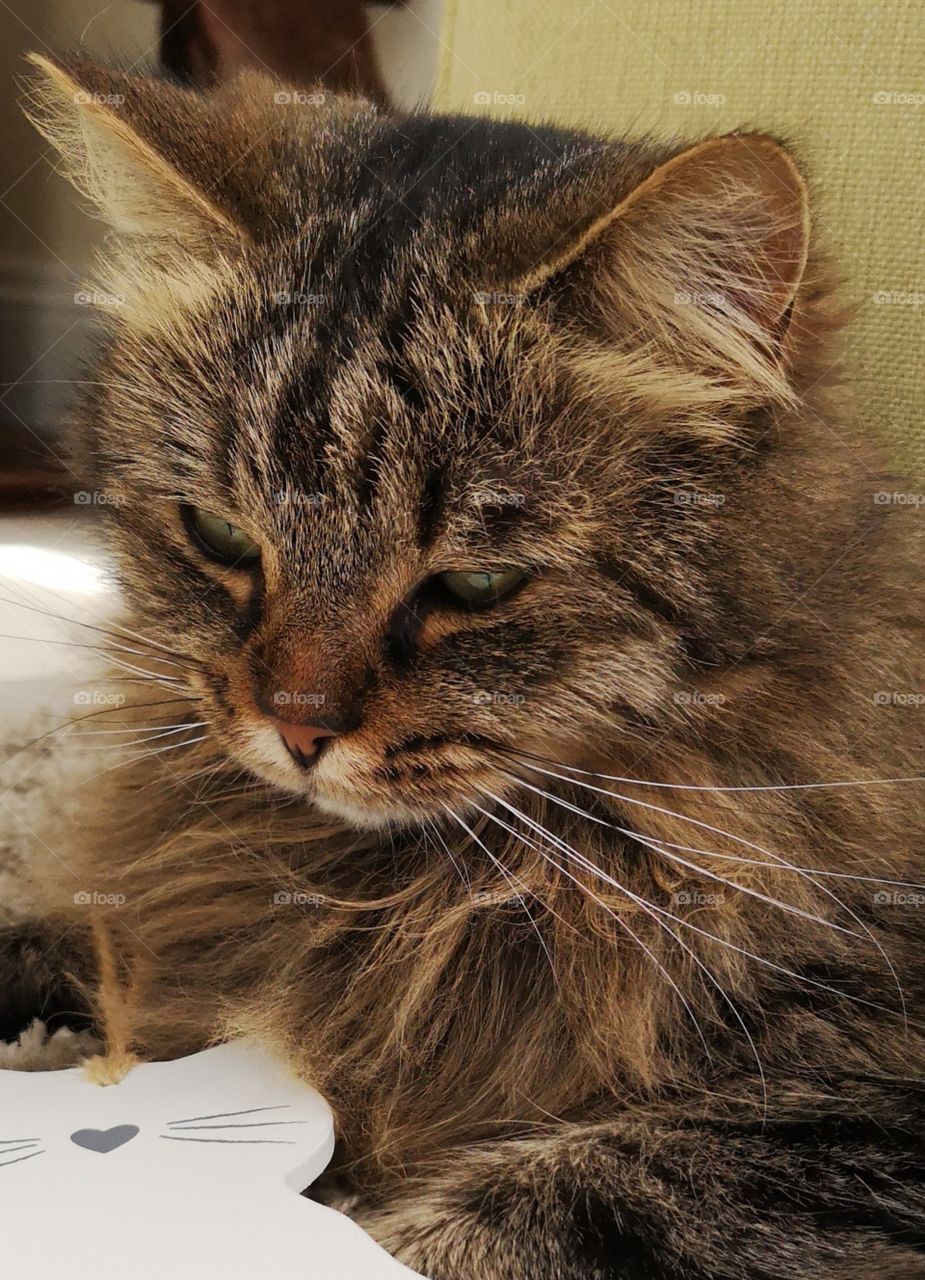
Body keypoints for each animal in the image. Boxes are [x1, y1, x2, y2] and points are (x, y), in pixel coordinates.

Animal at [9, 52, 925, 1280]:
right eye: (222, 535)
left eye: (477, 585)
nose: (295, 727)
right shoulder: (177, 906)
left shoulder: (848, 1088)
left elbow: (521, 1212)